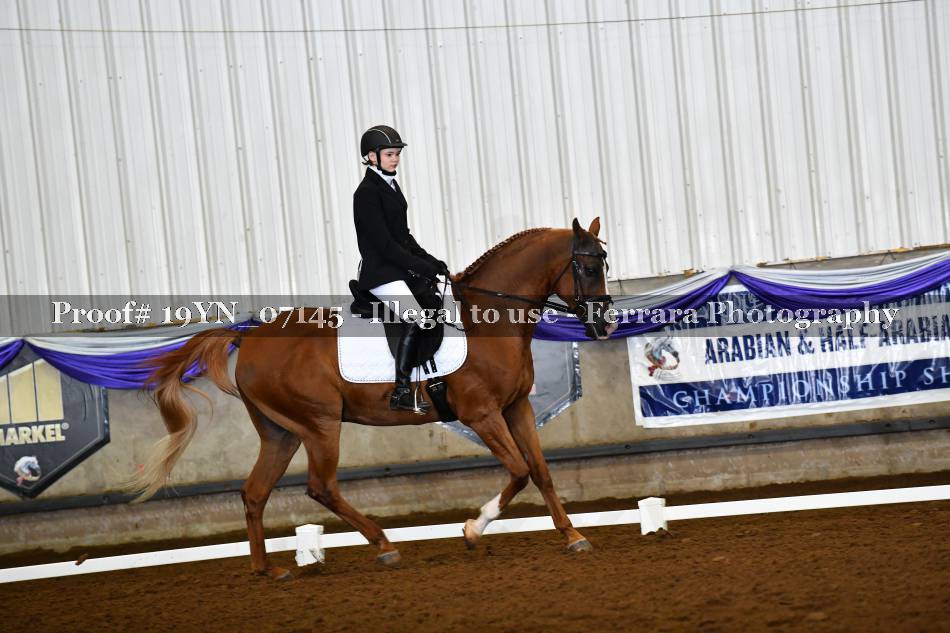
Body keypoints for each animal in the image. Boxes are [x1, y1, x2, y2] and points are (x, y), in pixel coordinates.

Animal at [130, 217, 616, 580]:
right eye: (589, 268)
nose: (606, 325)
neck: (488, 320)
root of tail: (248, 339)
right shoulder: (482, 414)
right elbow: (518, 471)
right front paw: (472, 530)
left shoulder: (517, 407)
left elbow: (541, 471)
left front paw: (573, 537)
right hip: (320, 426)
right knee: (321, 487)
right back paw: (384, 546)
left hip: (282, 433)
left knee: (254, 493)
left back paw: (268, 570)